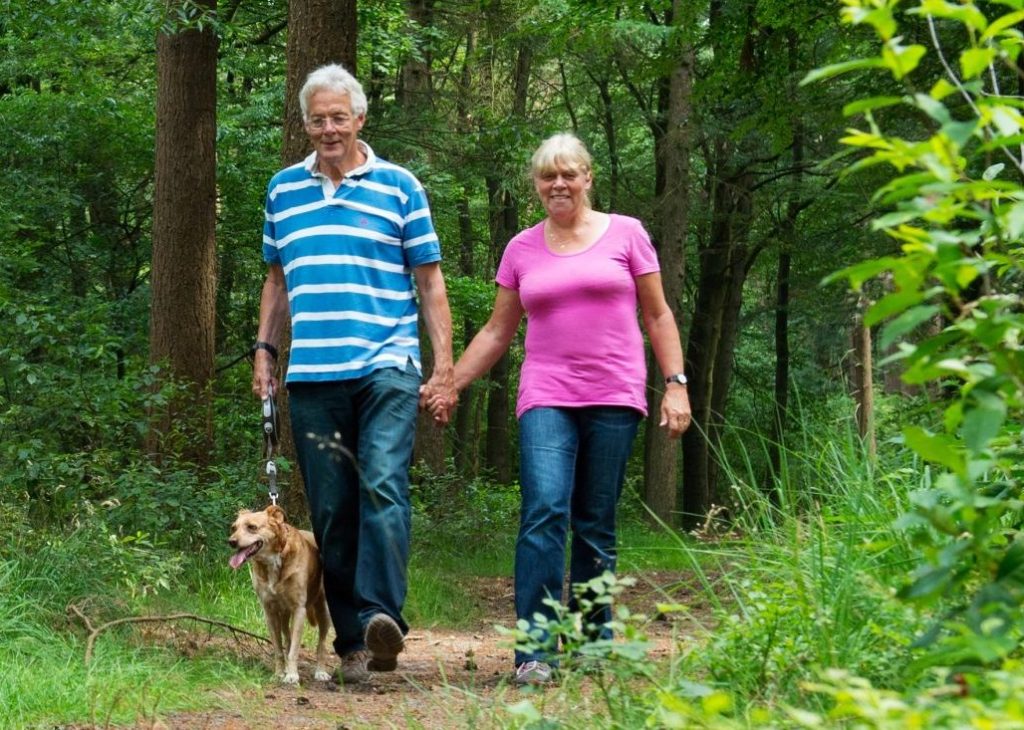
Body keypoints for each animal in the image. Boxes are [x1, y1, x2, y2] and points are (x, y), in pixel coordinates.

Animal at [228, 501, 331, 683]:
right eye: (234, 528)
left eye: (252, 527)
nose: (231, 542)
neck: (273, 560)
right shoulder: (270, 612)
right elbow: (279, 648)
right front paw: (279, 673)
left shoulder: (299, 610)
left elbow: (294, 650)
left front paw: (292, 675)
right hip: (283, 615)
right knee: (288, 639)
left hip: (323, 610)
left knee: (321, 643)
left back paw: (320, 671)